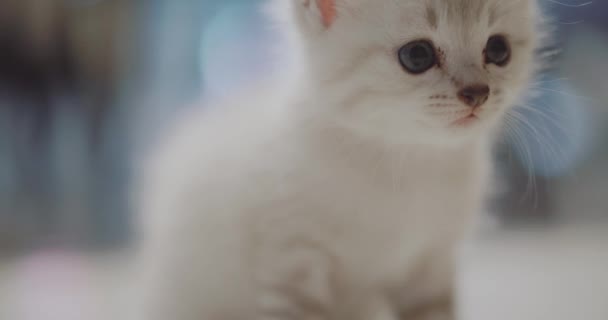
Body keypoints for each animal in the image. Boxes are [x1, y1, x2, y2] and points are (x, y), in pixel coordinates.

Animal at [132, 0, 540, 320]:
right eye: (417, 55)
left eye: (498, 49)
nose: (478, 93)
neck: (405, 159)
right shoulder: (292, 262)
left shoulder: (431, 264)